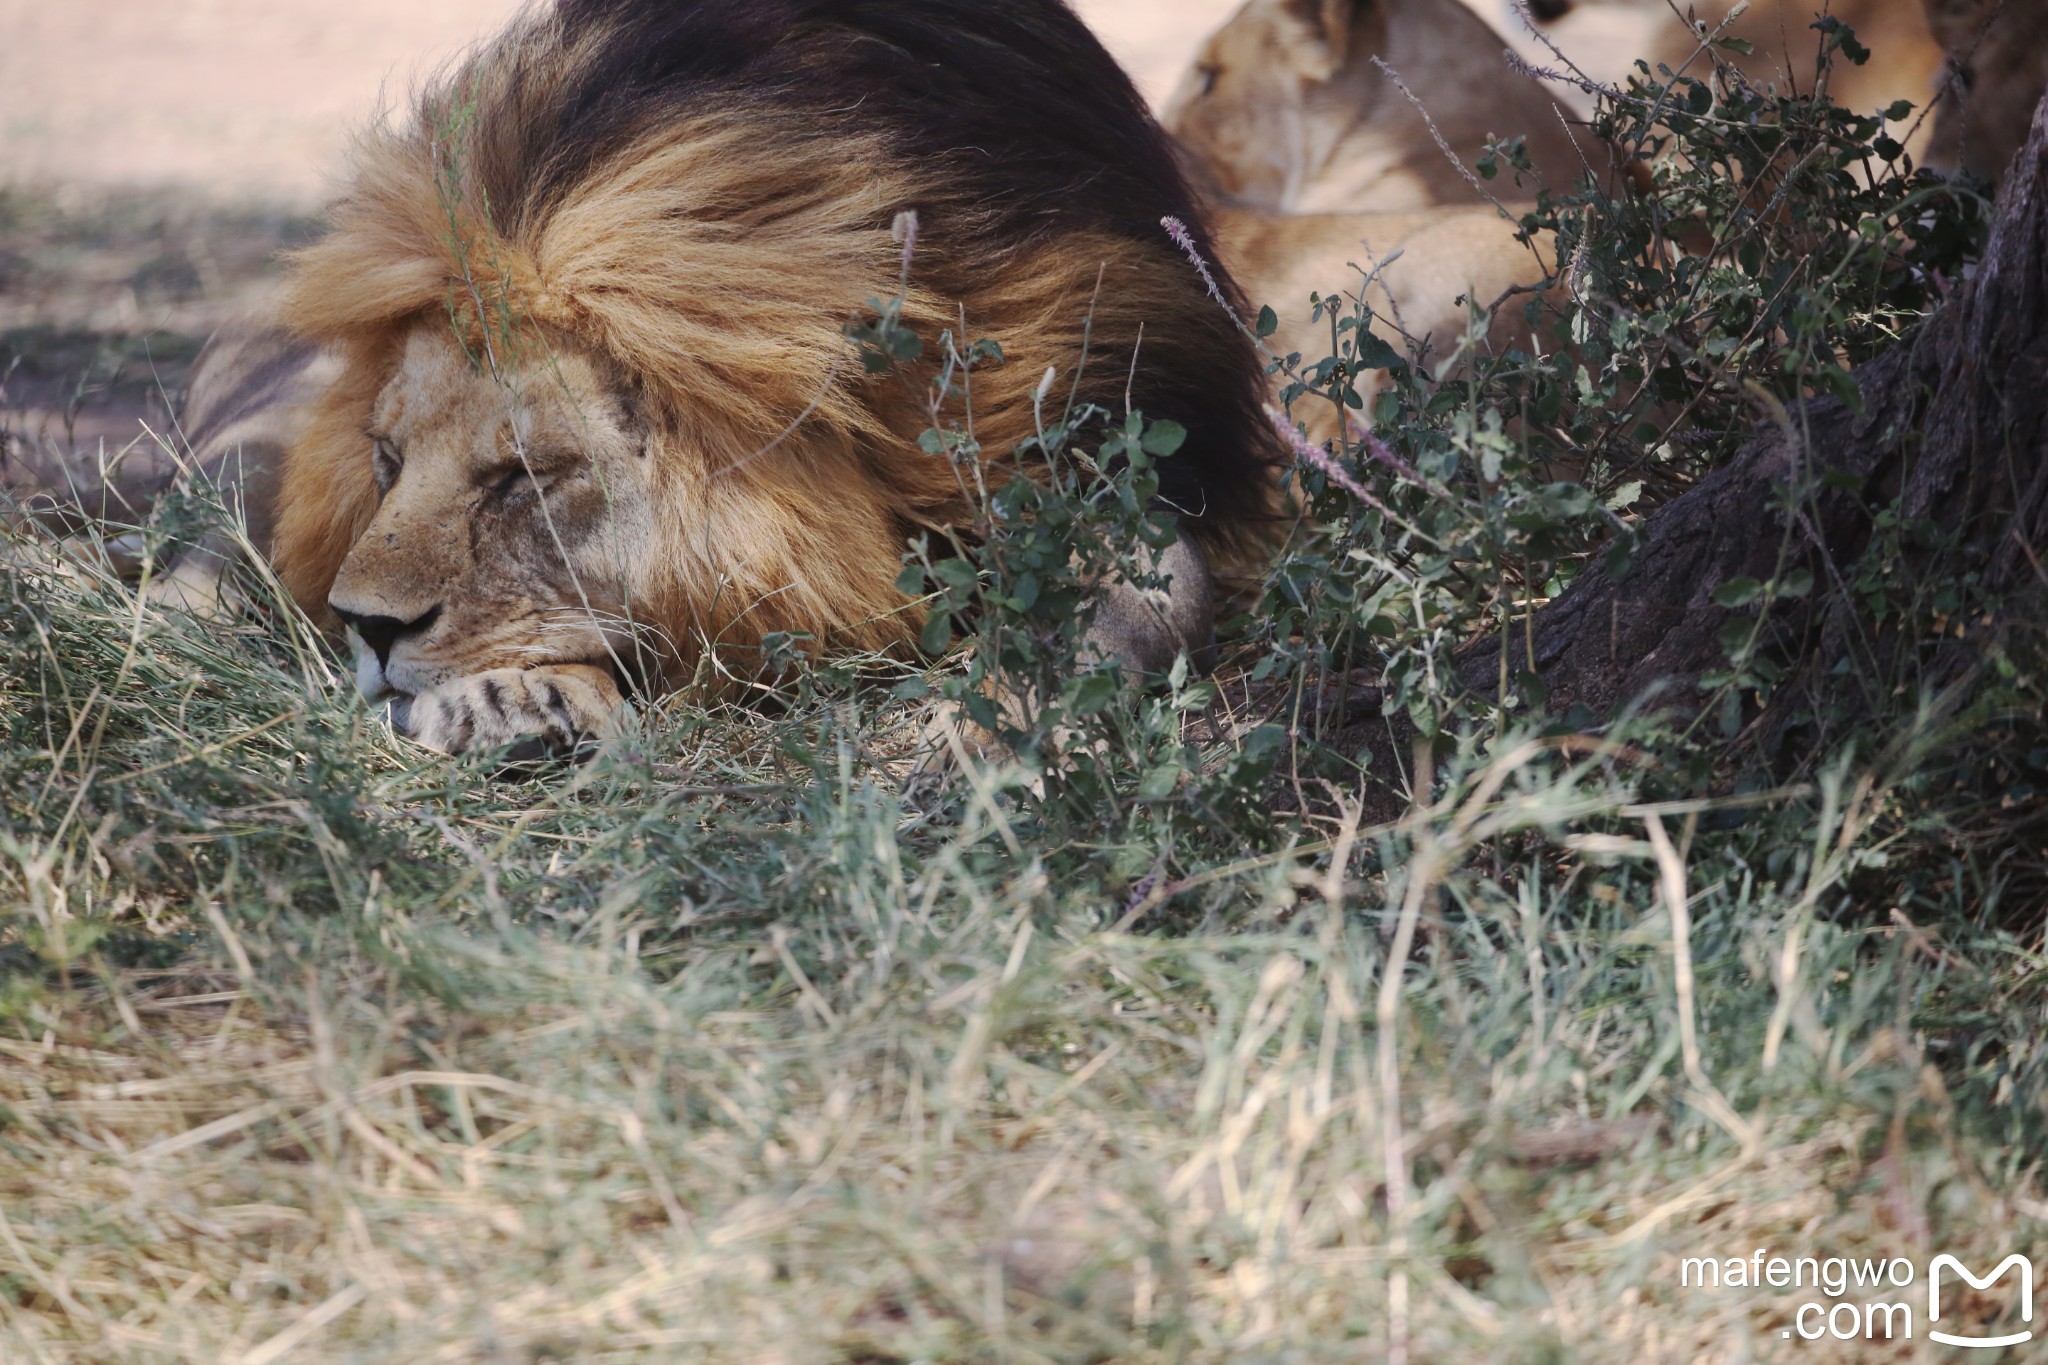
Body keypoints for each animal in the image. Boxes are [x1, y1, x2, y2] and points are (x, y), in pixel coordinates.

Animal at [167, 0, 1277, 757]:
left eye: (522, 477)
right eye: (389, 463)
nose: (368, 629)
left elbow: (1147, 601)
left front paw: (982, 720)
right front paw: (516, 697)